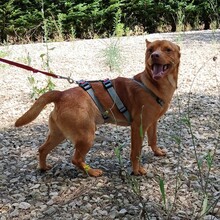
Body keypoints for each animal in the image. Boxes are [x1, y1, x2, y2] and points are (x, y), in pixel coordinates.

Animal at [15, 40, 180, 177]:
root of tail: (61, 94)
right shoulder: (138, 127)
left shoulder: (152, 123)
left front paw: (157, 152)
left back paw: (43, 167)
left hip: (59, 134)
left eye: (168, 49)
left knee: (42, 149)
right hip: (86, 135)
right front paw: (136, 170)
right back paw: (92, 172)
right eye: (150, 50)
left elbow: (153, 139)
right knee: (75, 159)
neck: (153, 85)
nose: (154, 55)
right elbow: (136, 152)